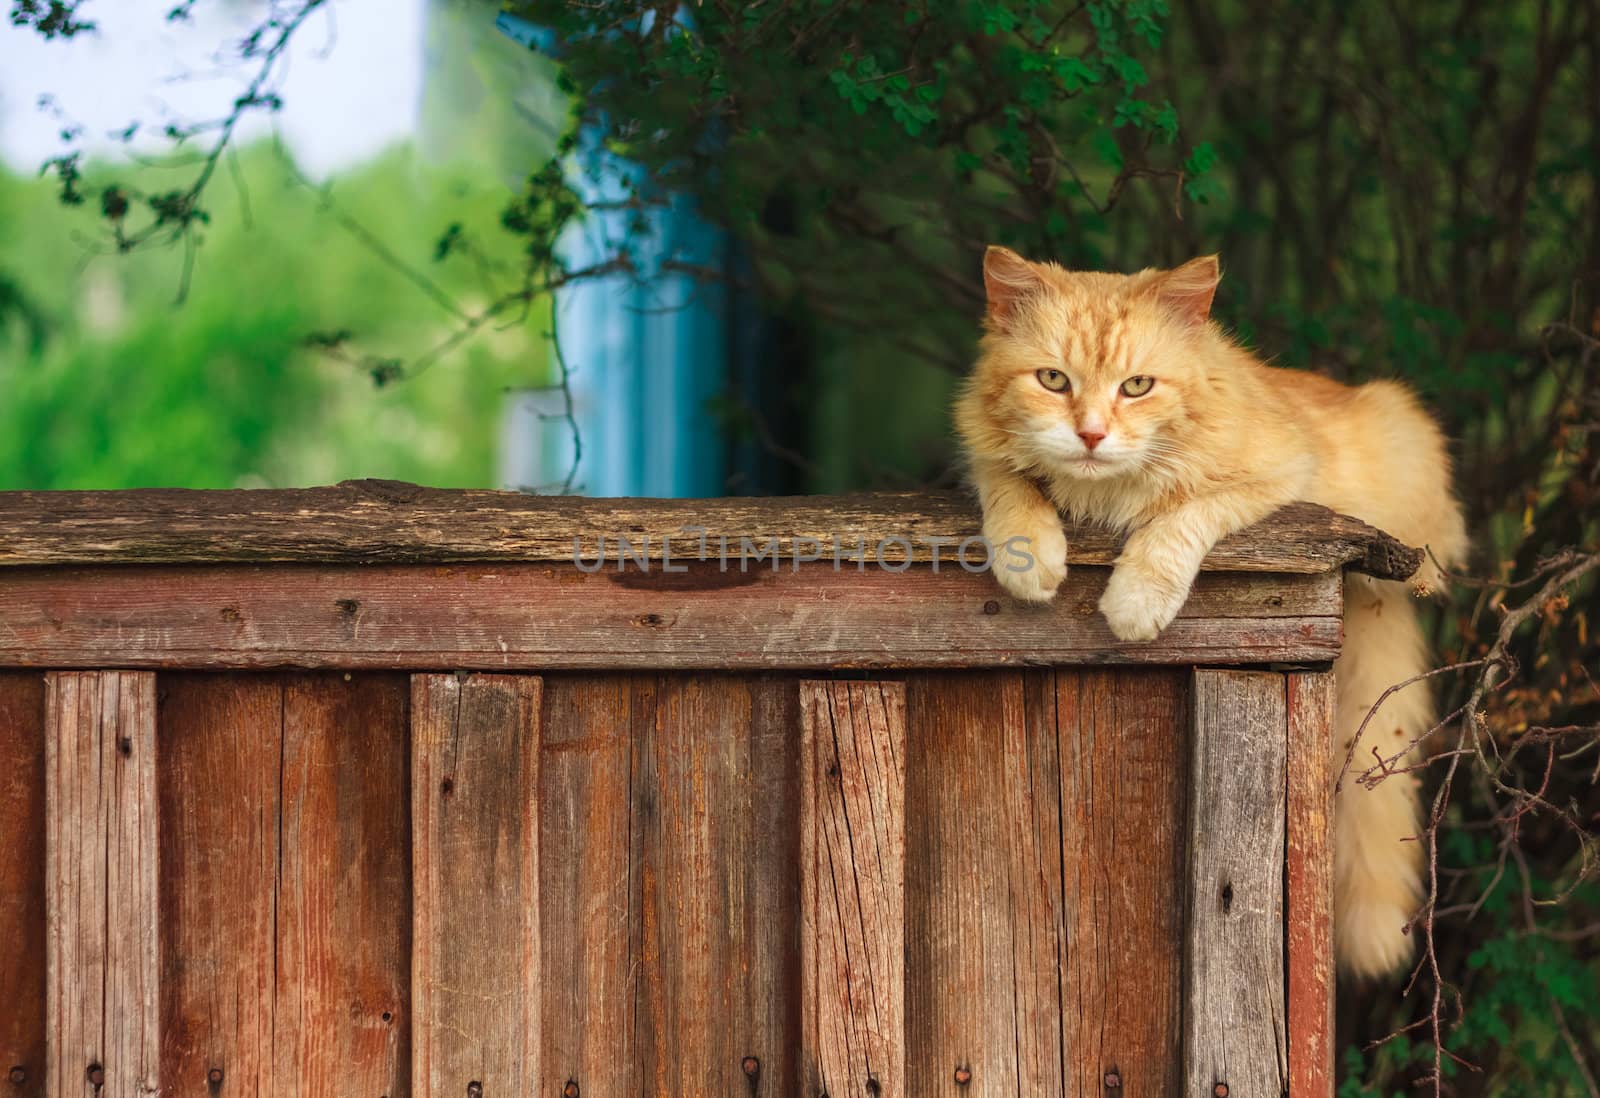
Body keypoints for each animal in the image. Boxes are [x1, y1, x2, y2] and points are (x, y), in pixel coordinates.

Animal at [953, 249, 1465, 979]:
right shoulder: (983, 457)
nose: (1090, 434)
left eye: (1137, 387)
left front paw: (1135, 603)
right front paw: (1030, 559)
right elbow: (1010, 486)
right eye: (1053, 380)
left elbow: (1180, 517)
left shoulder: (1278, 477)